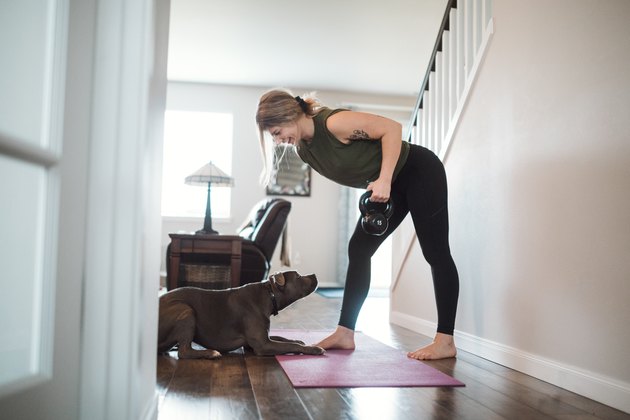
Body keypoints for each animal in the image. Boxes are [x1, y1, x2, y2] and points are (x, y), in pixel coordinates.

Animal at [158, 270, 326, 358]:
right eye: (298, 276)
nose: (314, 275)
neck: (269, 295)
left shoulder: (263, 339)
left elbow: (284, 338)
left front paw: (299, 340)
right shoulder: (263, 345)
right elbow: (289, 345)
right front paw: (313, 349)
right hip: (185, 309)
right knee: (184, 351)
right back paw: (211, 353)